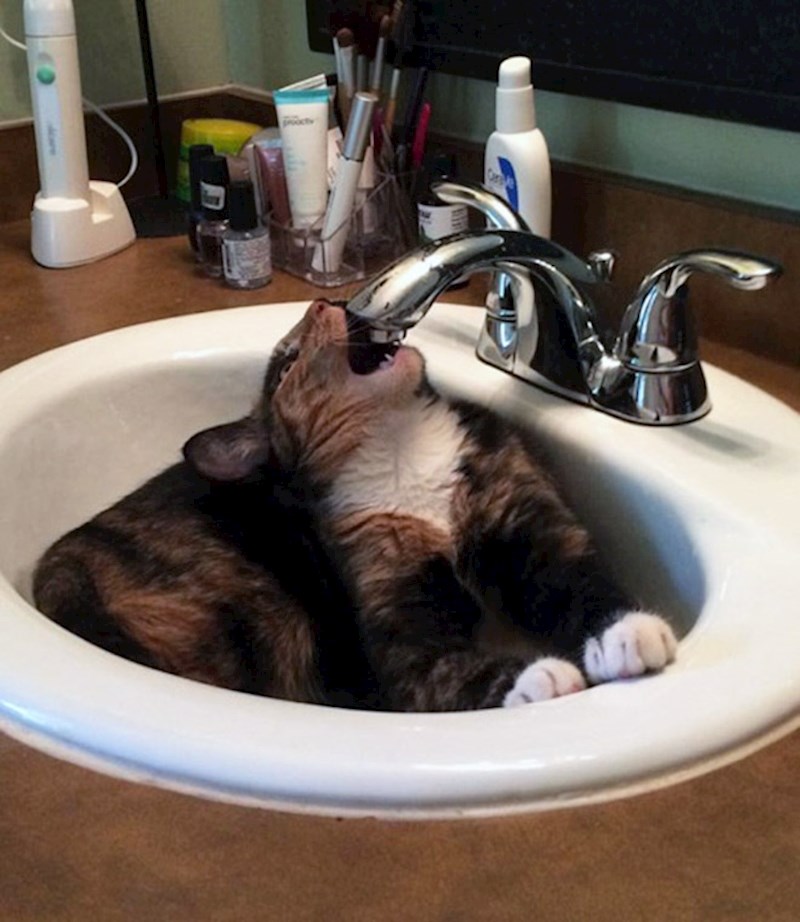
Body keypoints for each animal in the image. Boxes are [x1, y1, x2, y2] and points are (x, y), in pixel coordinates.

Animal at [33, 299, 678, 711]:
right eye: (286, 363)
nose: (325, 299)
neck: (402, 447)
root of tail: (57, 565)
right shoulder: (398, 624)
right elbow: (443, 673)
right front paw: (535, 677)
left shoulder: (528, 523)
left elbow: (581, 580)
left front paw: (627, 632)